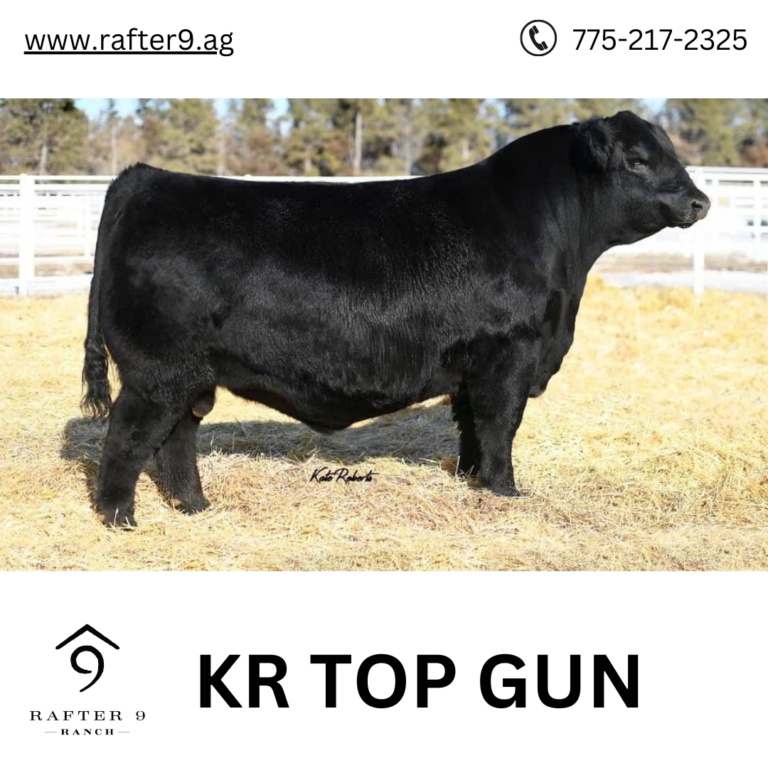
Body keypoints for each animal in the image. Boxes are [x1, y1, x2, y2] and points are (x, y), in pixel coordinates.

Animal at [81, 110, 710, 527]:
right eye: (637, 161)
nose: (699, 201)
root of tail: (147, 177)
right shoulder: (510, 353)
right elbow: (501, 425)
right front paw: (505, 492)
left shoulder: (472, 366)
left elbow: (470, 427)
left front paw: (471, 478)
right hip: (156, 370)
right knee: (128, 437)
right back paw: (120, 518)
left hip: (190, 374)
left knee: (177, 437)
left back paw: (193, 506)